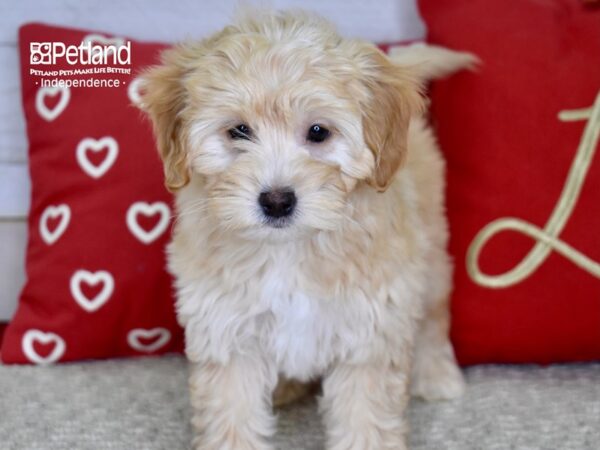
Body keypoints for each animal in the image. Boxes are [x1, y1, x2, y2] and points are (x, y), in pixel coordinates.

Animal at [141, 10, 474, 450]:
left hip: (429, 254)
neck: (290, 249)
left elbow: (365, 418)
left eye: (318, 132)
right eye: (239, 131)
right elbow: (233, 414)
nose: (277, 201)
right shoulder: (228, 331)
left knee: (433, 315)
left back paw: (436, 374)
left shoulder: (368, 332)